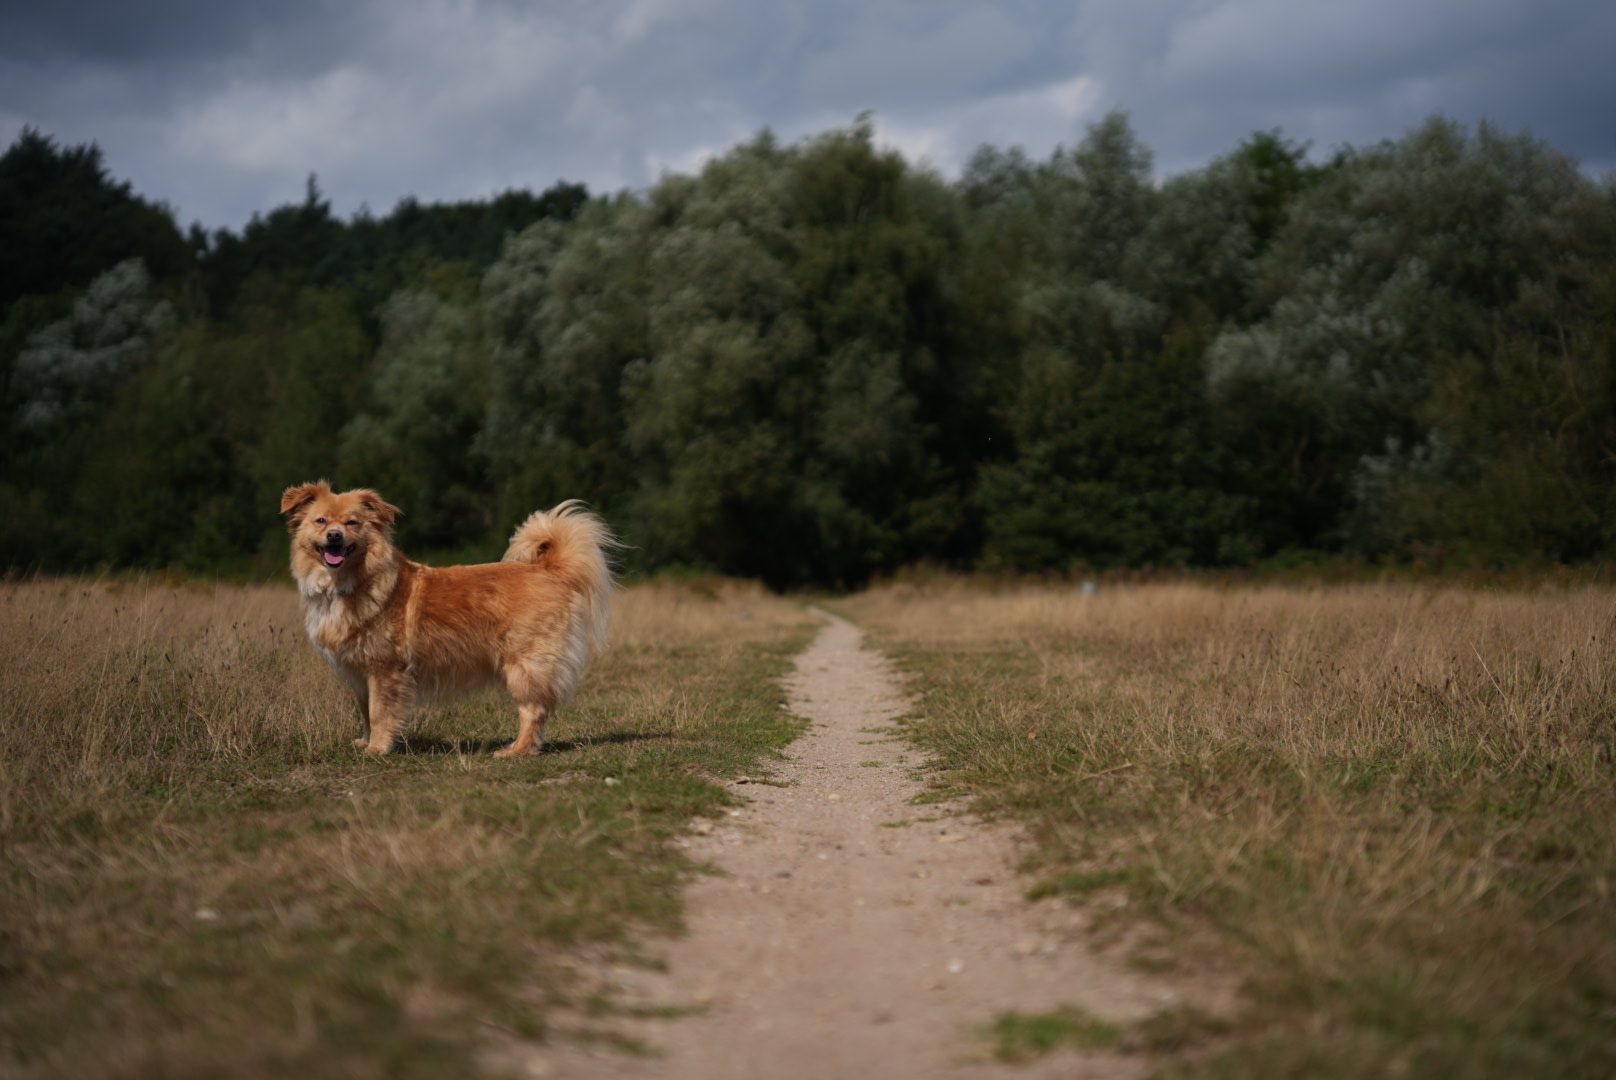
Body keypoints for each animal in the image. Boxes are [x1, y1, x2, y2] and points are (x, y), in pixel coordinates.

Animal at [280, 481, 616, 756]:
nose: (334, 536)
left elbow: (380, 712)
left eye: (353, 523)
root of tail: (550, 569)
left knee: (533, 710)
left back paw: (517, 750)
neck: (349, 582)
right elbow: (365, 711)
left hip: (524, 665)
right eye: (321, 521)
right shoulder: (360, 674)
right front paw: (365, 741)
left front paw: (377, 748)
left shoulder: (384, 670)